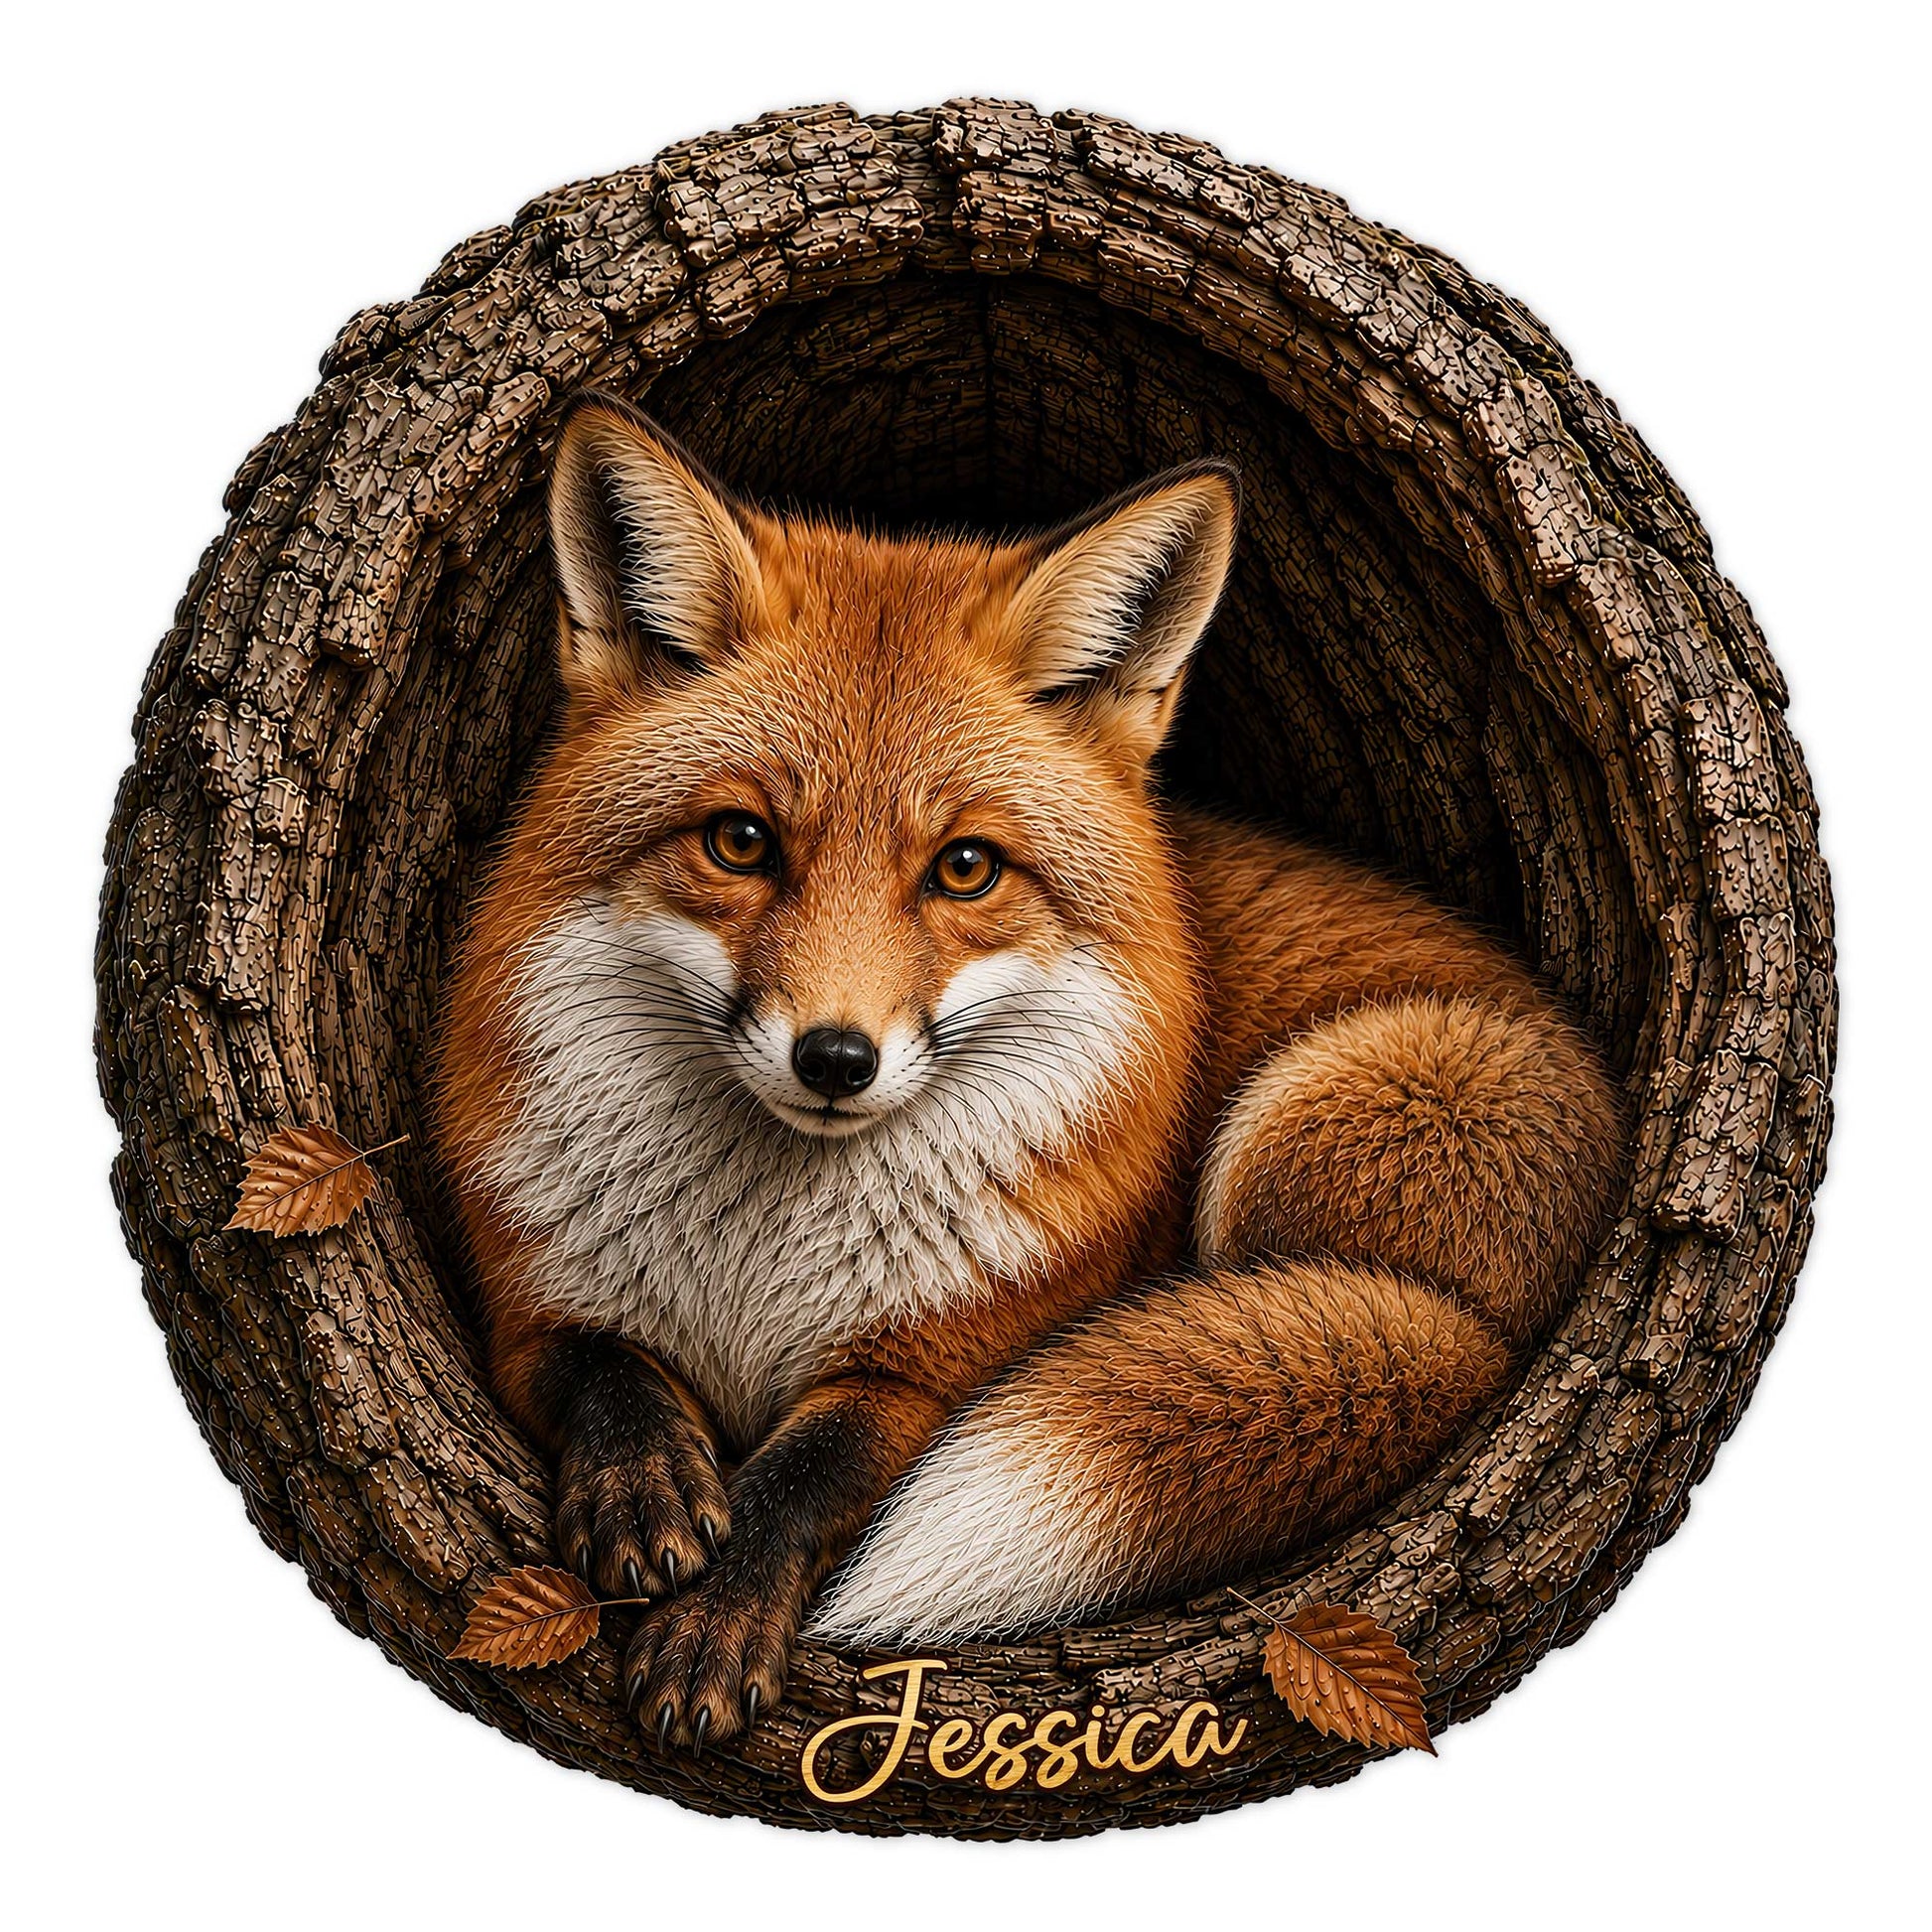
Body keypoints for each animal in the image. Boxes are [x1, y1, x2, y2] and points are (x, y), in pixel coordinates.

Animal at [434, 392, 1625, 1754]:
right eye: (738, 841)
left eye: (965, 867)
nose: (834, 1057)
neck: (758, 1259)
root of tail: (1491, 1340)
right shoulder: (520, 1303)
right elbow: (604, 1371)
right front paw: (646, 1489)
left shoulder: (939, 1370)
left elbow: (804, 1475)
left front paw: (716, 1620)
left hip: (1294, 1126)